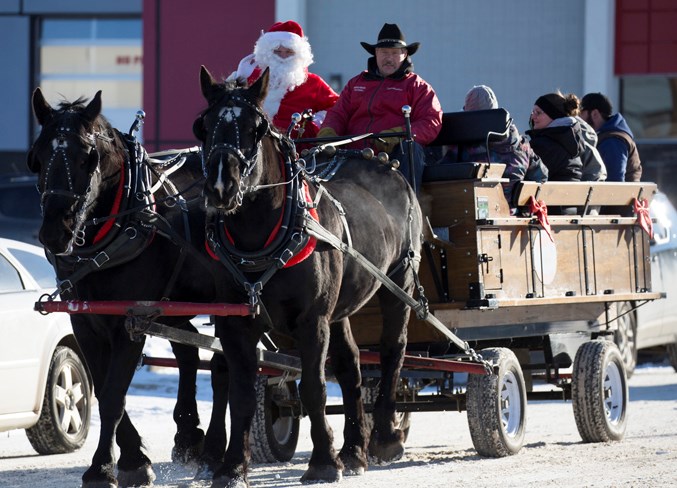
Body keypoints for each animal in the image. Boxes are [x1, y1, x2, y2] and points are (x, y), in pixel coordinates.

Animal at [27, 89, 227, 486]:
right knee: (191, 354)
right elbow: (105, 388)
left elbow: (113, 395)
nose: (55, 232)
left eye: (88, 158)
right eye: (38, 158)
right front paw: (132, 457)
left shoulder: (131, 320)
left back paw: (214, 449)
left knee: (225, 365)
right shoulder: (85, 321)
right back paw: (189, 434)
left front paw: (106, 466)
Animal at [191, 66, 422, 488]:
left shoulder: (312, 320)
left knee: (393, 350)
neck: (261, 234)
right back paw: (354, 449)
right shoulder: (235, 323)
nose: (220, 186)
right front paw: (231, 468)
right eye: (204, 126)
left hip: (400, 283)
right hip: (342, 306)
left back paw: (384, 436)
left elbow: (313, 387)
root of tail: (382, 161)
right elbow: (240, 392)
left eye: (257, 127)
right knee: (350, 365)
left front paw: (323, 462)